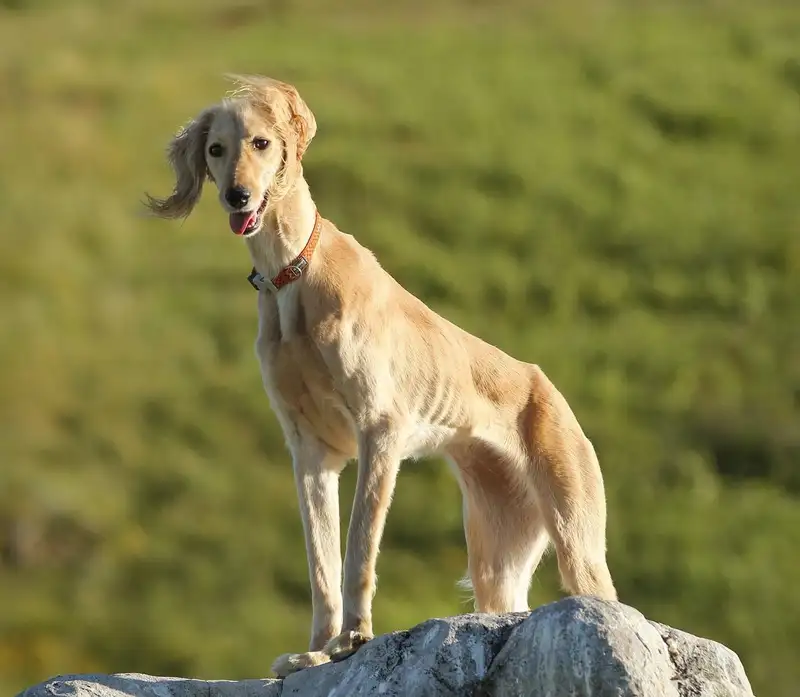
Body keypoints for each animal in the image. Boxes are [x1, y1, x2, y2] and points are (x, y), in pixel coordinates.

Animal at [145, 75, 620, 676]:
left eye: (260, 143)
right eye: (215, 149)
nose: (238, 196)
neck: (292, 272)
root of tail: (548, 389)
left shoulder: (380, 429)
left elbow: (356, 550)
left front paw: (353, 639)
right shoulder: (310, 450)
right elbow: (321, 561)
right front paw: (316, 650)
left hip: (577, 537)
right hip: (498, 552)